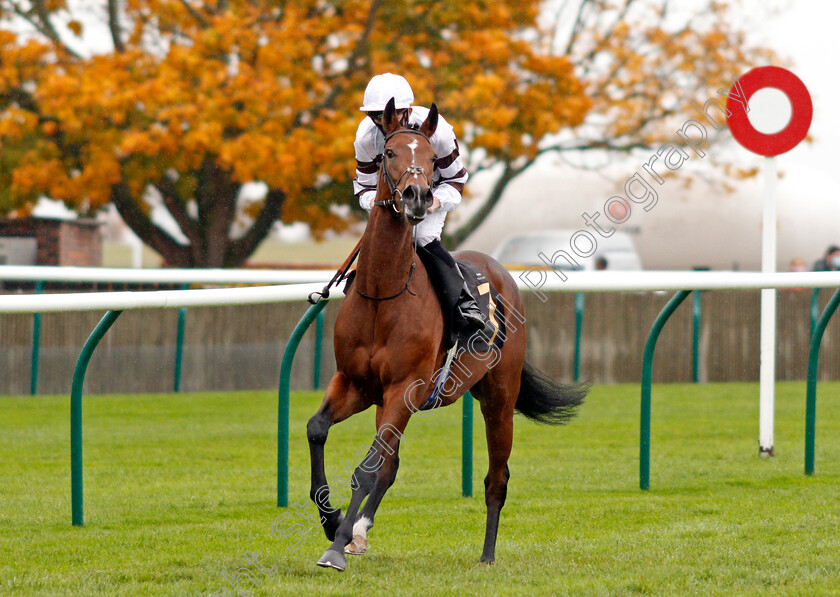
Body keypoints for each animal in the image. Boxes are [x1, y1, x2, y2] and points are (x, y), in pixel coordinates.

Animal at [306, 100, 588, 572]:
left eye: (432, 157)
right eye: (388, 154)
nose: (418, 196)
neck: (384, 292)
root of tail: (502, 275)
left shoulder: (404, 388)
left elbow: (367, 468)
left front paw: (334, 547)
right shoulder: (356, 384)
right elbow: (318, 431)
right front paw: (334, 523)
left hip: (498, 398)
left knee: (496, 477)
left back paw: (487, 554)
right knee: (391, 463)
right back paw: (359, 531)